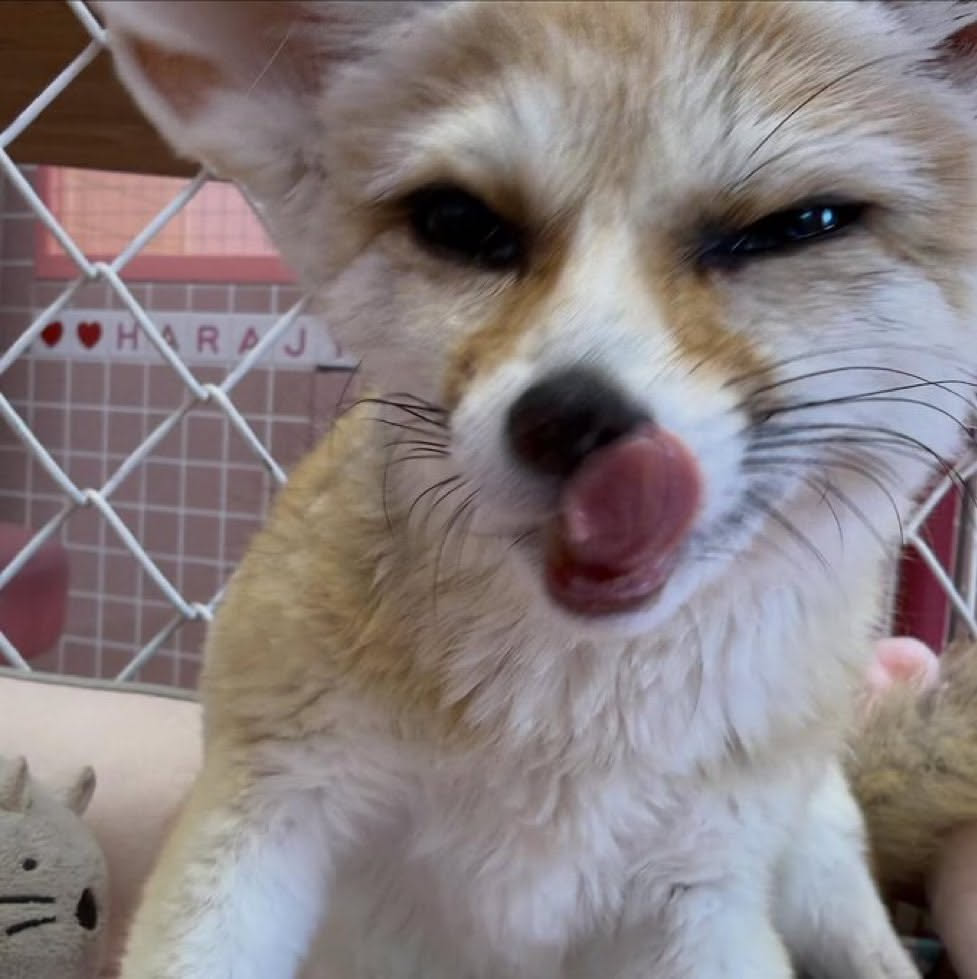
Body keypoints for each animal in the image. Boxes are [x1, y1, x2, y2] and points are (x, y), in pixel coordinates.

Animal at [96, 2, 977, 977]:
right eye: (457, 220)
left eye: (798, 224)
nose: (570, 419)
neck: (569, 732)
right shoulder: (266, 802)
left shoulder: (703, 896)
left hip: (815, 864)